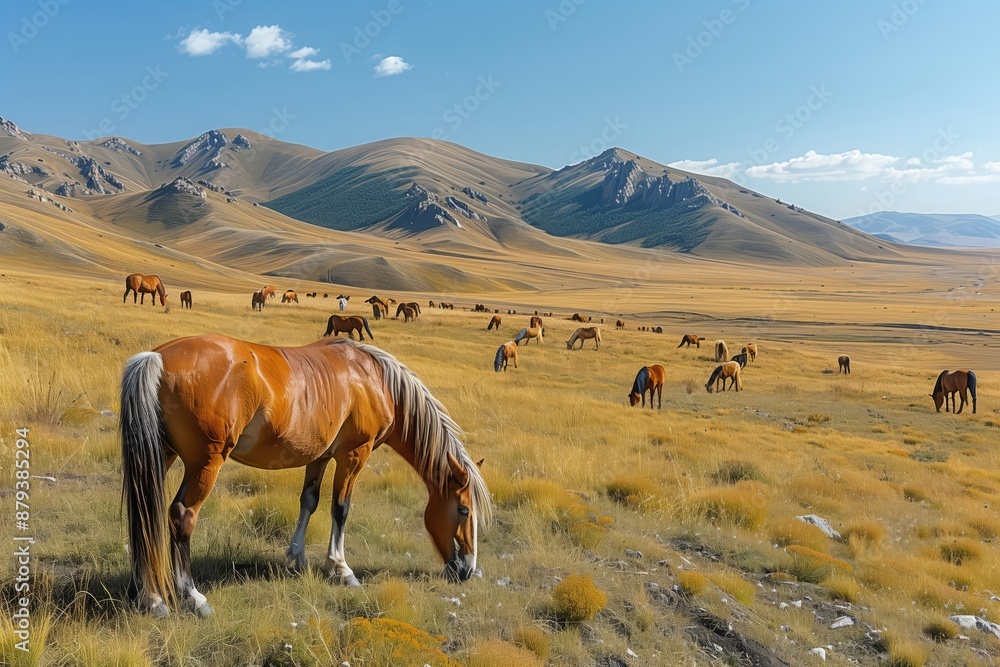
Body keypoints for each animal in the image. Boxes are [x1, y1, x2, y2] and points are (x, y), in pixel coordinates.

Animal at [119, 335, 491, 617]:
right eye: (463, 510)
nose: (467, 570)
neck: (375, 380)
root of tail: (157, 357)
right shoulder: (354, 454)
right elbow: (340, 508)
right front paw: (341, 569)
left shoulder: (320, 456)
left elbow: (309, 501)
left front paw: (296, 558)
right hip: (205, 464)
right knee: (182, 516)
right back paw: (191, 597)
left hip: (161, 455)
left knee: (145, 511)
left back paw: (148, 596)